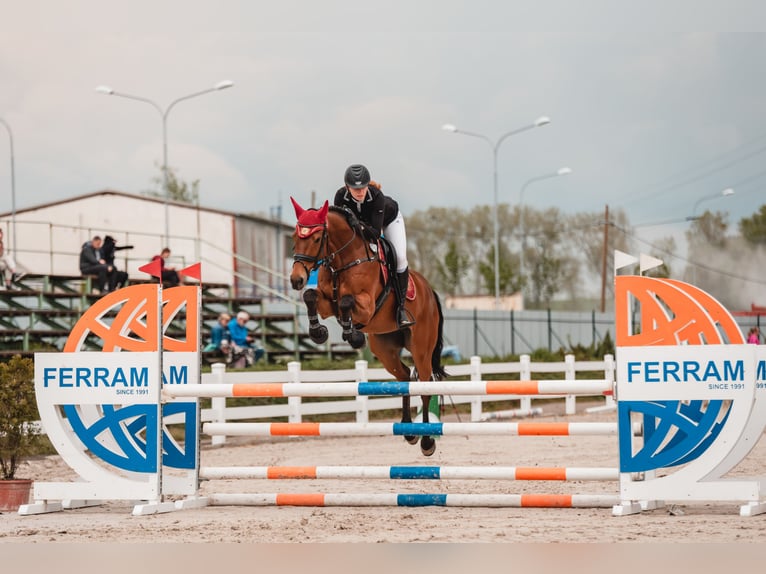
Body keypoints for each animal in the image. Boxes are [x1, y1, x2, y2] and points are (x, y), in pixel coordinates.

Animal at [292, 199, 450, 460]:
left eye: (315, 239)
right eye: (295, 236)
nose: (296, 279)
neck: (342, 260)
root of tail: (430, 291)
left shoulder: (366, 306)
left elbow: (346, 301)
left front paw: (353, 335)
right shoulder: (327, 304)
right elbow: (311, 296)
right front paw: (318, 332)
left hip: (421, 348)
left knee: (425, 385)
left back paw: (427, 441)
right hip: (384, 349)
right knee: (404, 377)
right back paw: (408, 431)